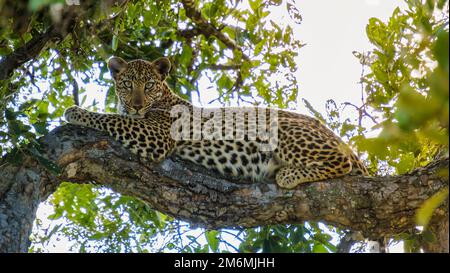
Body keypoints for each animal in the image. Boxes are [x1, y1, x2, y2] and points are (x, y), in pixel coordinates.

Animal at [64, 56, 370, 188]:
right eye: (127, 84)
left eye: (149, 85)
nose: (137, 104)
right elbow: (116, 116)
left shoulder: (156, 135)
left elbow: (111, 119)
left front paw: (76, 112)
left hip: (284, 129)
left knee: (340, 163)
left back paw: (288, 175)